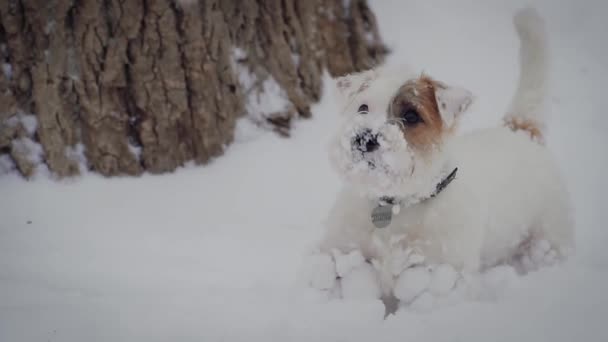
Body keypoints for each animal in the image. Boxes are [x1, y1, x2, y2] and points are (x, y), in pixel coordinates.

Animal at [308, 9, 576, 306]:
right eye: (363, 107)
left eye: (411, 115)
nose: (364, 138)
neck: (397, 205)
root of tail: (519, 130)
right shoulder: (340, 250)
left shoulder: (441, 276)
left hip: (549, 236)